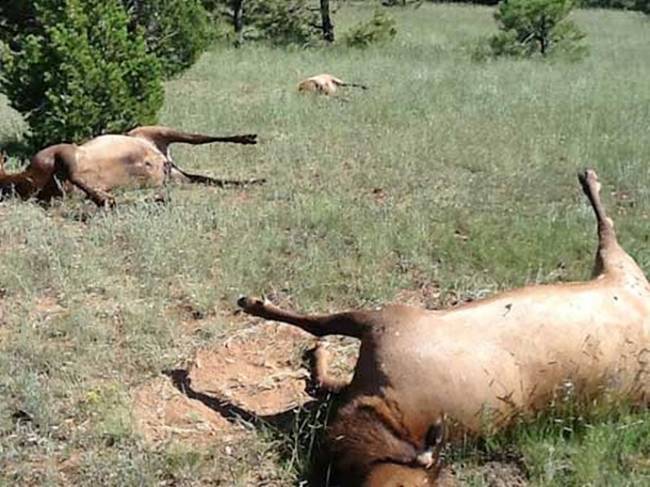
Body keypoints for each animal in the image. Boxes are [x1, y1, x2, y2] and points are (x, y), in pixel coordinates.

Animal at [1, 126, 264, 206]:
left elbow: (76, 175)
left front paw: (105, 199)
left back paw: (247, 138)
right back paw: (253, 180)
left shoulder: (63, 151)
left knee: (200, 137)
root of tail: (165, 160)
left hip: (157, 130)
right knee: (206, 178)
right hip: (177, 176)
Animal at [237, 170, 648, 486]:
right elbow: (322, 369)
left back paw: (589, 181)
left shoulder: (385, 320)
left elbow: (315, 325)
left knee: (609, 230)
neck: (385, 409)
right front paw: (315, 356)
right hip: (618, 271)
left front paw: (254, 304)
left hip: (621, 266)